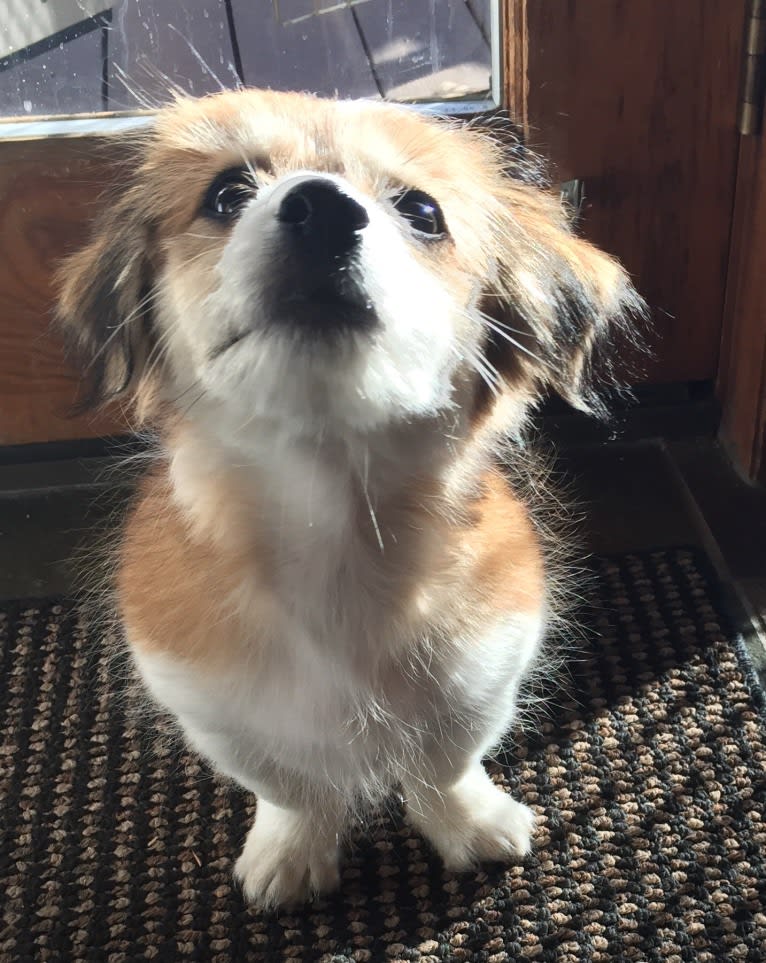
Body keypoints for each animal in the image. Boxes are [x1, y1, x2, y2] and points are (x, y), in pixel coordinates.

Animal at [57, 86, 644, 908]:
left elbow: (445, 761)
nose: (323, 210)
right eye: (227, 193)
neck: (333, 516)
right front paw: (292, 851)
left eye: (423, 211)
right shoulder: (212, 705)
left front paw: (471, 824)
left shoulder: (487, 667)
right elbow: (291, 786)